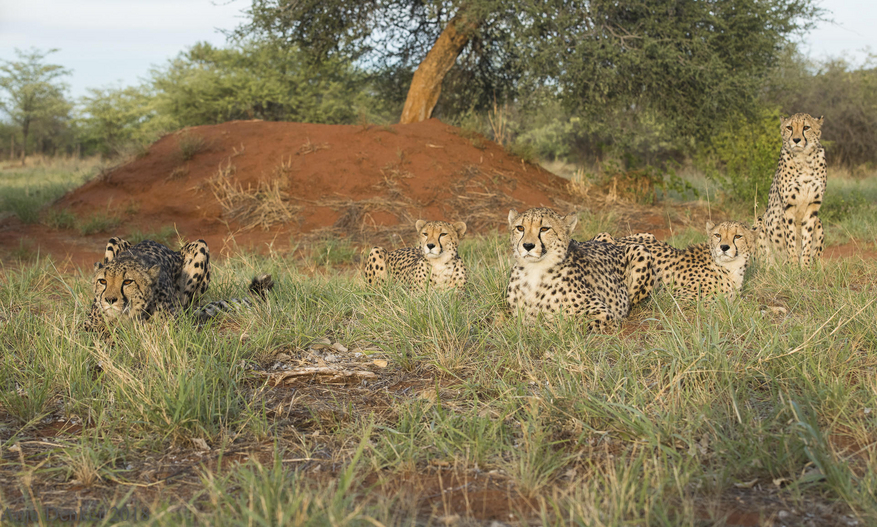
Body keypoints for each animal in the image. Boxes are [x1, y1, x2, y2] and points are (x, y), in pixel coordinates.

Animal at [86, 237, 272, 332]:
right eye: (102, 281)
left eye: (127, 282)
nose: (109, 300)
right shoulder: (90, 326)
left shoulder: (170, 326)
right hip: (114, 239)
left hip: (200, 246)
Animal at [504, 208, 652, 332]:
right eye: (520, 228)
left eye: (544, 229)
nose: (528, 245)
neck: (534, 269)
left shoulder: (604, 315)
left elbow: (566, 323)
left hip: (640, 251)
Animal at [756, 113, 824, 266]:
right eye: (789, 127)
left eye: (806, 127)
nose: (796, 140)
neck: (804, 159)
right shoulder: (788, 207)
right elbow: (790, 240)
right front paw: (793, 266)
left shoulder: (813, 205)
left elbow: (807, 240)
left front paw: (805, 266)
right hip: (760, 220)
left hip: (819, 222)